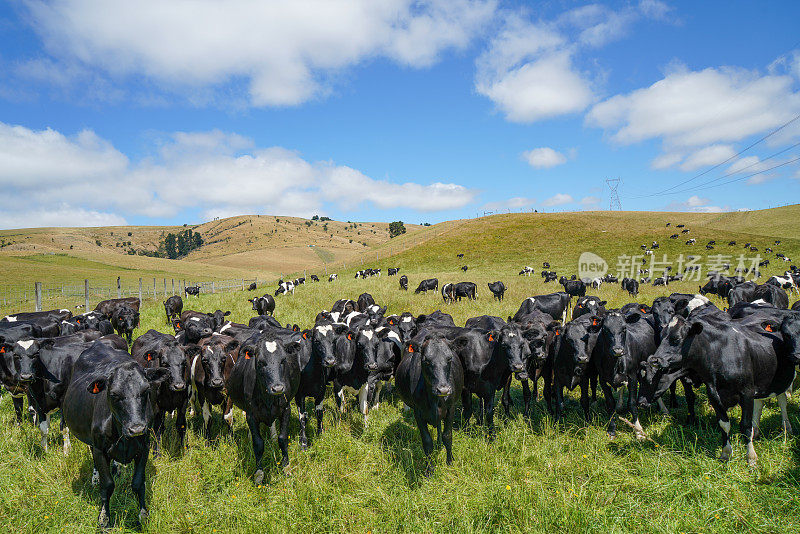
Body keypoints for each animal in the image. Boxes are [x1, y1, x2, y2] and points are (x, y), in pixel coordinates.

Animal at [61, 344, 170, 528]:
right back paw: (95, 477)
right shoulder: (100, 449)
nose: (136, 429)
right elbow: (107, 484)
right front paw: (104, 517)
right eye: (114, 394)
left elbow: (138, 482)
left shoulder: (144, 448)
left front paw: (143, 514)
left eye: (146, 390)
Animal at [394, 332, 462, 476]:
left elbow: (447, 436)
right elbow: (427, 441)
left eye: (449, 359)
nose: (443, 390)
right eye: (426, 360)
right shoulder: (418, 413)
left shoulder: (451, 409)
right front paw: (429, 470)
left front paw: (450, 462)